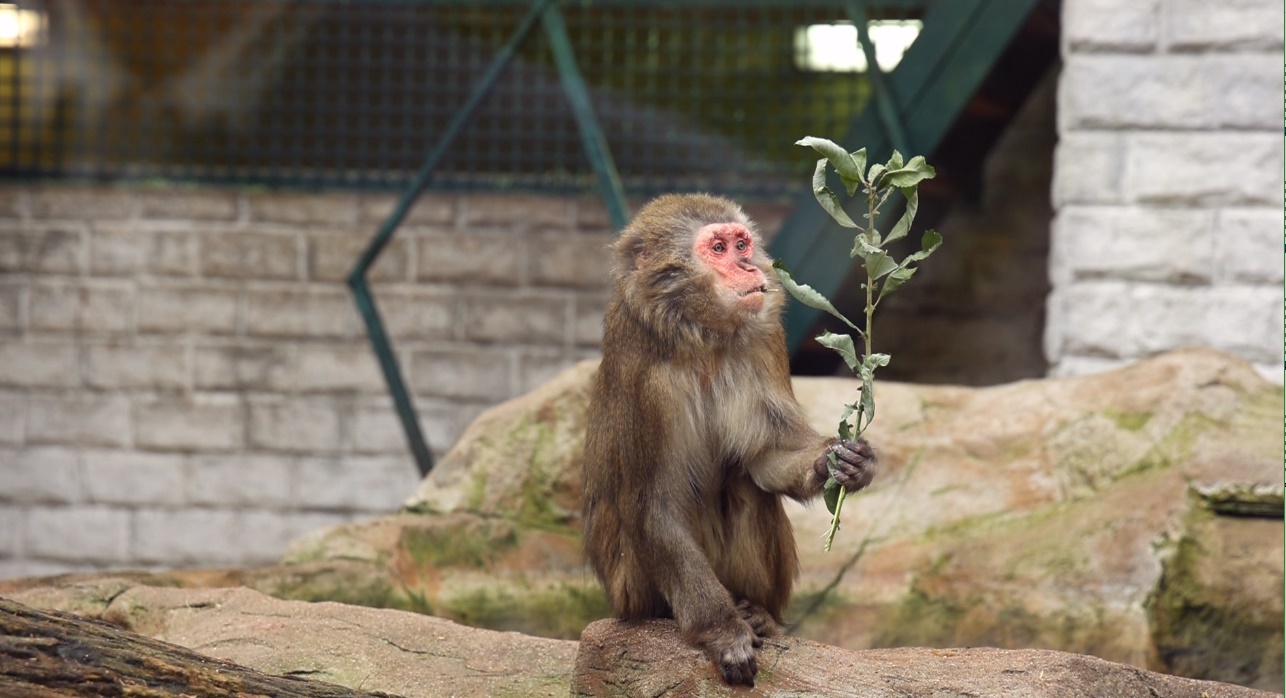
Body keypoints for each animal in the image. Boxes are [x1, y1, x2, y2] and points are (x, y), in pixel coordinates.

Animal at [581, 192, 874, 689]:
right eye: (718, 249)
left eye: (741, 244)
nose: (750, 266)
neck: (702, 336)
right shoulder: (644, 380)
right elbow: (652, 506)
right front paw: (722, 633)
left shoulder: (765, 341)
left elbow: (766, 456)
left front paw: (842, 462)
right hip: (632, 593)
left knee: (746, 486)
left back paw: (758, 613)